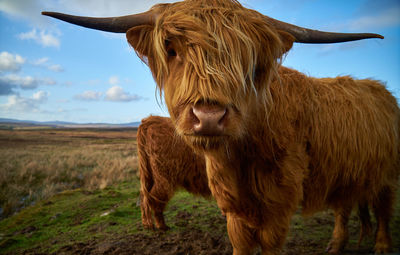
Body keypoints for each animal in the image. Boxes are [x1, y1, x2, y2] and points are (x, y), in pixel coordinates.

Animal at [42, 0, 398, 254]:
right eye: (171, 48)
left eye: (248, 59)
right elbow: (241, 242)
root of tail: (379, 88)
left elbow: (270, 242)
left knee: (380, 208)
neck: (241, 156)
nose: (209, 116)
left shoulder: (280, 200)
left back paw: (380, 245)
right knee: (346, 207)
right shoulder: (234, 206)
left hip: (385, 174)